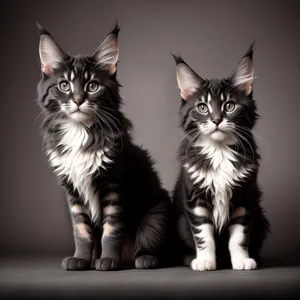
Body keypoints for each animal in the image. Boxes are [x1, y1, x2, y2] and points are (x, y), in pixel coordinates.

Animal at [36, 24, 173, 270]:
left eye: (92, 86)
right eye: (64, 85)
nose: (78, 99)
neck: (79, 130)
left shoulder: (114, 184)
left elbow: (111, 229)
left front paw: (108, 259)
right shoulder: (72, 190)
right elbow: (81, 230)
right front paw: (80, 258)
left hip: (157, 215)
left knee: (155, 246)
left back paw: (145, 258)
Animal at [172, 45, 270, 272]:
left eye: (229, 106)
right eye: (202, 107)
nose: (216, 120)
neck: (220, 151)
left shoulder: (245, 198)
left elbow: (239, 237)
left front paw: (242, 260)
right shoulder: (196, 198)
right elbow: (203, 235)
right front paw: (205, 261)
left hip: (261, 218)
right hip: (180, 223)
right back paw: (191, 259)